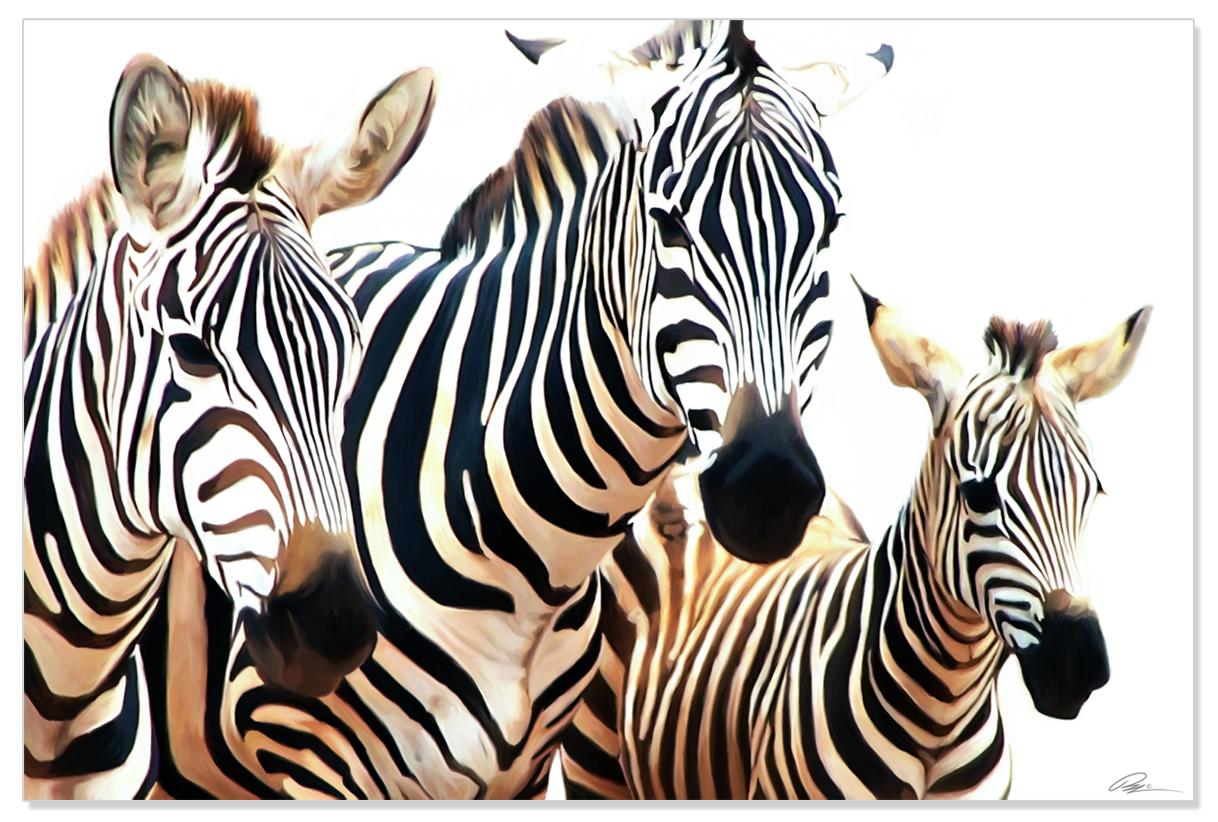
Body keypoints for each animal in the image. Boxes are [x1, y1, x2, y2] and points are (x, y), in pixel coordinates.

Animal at [559, 282, 1150, 799]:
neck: (944, 711)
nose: (1078, 664)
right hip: (595, 760)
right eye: (978, 493)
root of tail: (688, 468)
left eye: (1093, 492)